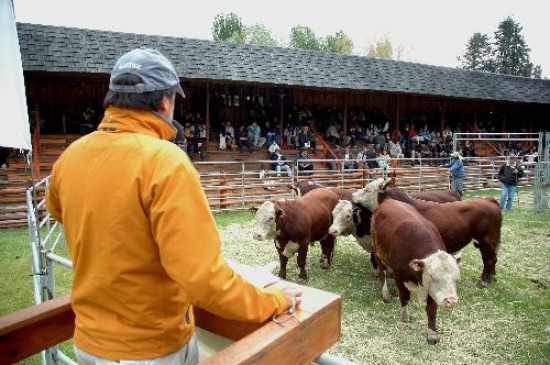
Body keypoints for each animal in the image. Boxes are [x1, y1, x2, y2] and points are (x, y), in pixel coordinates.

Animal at [354, 178, 504, 288]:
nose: (353, 194)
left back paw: (483, 281)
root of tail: (489, 200)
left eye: (368, 189)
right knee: (493, 258)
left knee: (489, 259)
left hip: (487, 239)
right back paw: (493, 277)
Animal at [370, 198, 462, 342]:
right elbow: (404, 297)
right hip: (377, 252)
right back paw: (386, 293)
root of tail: (389, 200)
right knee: (383, 273)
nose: (451, 301)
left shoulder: (430, 288)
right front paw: (404, 317)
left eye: (456, 278)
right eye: (432, 276)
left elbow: (431, 309)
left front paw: (432, 333)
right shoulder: (399, 275)